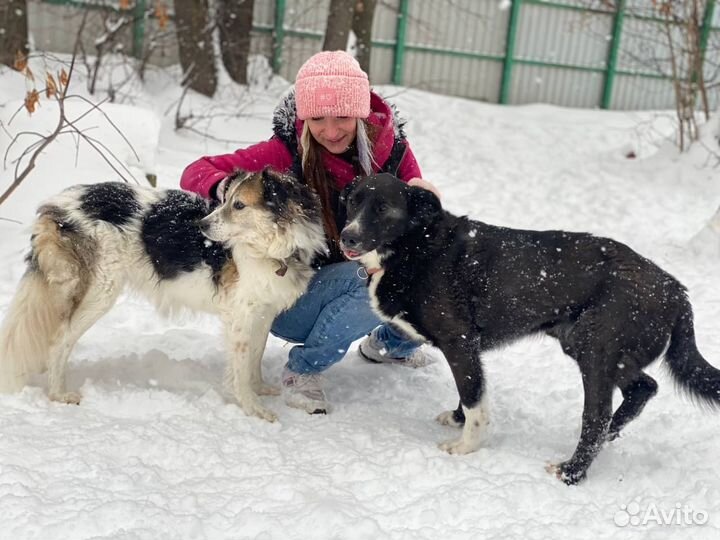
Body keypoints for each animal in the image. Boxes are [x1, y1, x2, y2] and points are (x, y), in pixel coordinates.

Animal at [0, 169, 324, 422]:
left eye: (240, 205)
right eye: (228, 200)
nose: (201, 225)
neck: (271, 249)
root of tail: (57, 204)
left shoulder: (263, 312)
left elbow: (255, 357)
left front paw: (259, 390)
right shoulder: (241, 315)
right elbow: (241, 367)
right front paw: (252, 408)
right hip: (99, 292)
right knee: (59, 339)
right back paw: (58, 393)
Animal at [338, 173, 720, 486]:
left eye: (383, 207)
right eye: (354, 200)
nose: (347, 237)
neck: (415, 244)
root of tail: (675, 289)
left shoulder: (459, 341)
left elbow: (474, 398)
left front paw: (467, 446)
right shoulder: (468, 349)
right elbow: (472, 390)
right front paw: (458, 420)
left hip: (594, 350)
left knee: (597, 416)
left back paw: (572, 472)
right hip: (596, 348)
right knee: (644, 387)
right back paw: (611, 435)